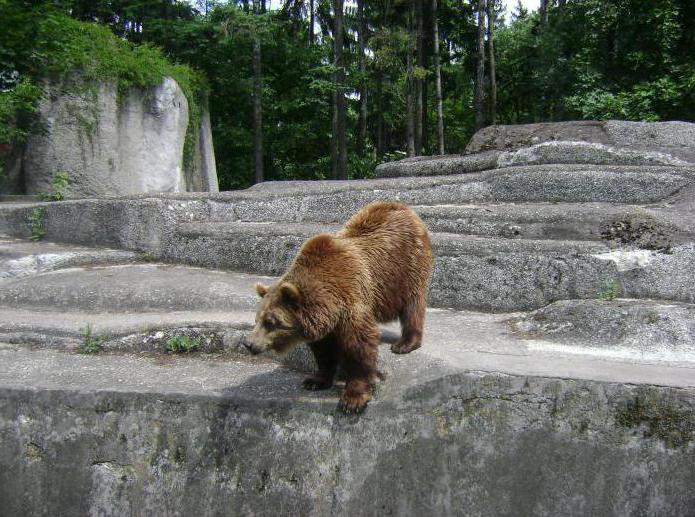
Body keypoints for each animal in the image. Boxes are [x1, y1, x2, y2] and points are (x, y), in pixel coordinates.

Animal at [243, 200, 430, 414]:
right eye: (257, 319)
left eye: (271, 322)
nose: (248, 343)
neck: (329, 302)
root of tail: (400, 206)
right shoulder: (322, 320)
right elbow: (323, 351)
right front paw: (315, 380)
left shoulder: (351, 301)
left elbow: (358, 346)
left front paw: (353, 399)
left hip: (406, 267)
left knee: (412, 304)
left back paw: (405, 343)